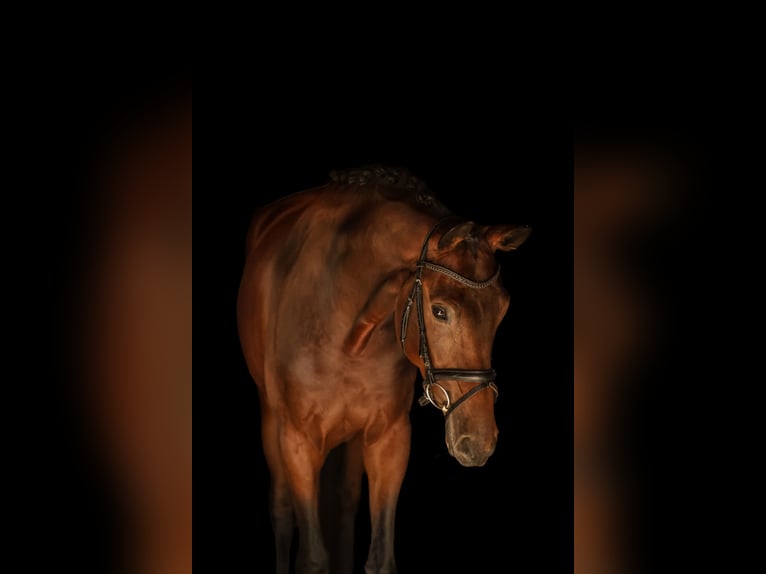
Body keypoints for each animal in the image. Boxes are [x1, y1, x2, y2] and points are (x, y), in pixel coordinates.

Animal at [237, 166, 531, 574]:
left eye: (502, 310)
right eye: (440, 311)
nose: (479, 441)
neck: (344, 330)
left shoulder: (388, 439)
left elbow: (380, 556)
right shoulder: (298, 441)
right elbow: (312, 556)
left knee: (344, 505)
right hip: (271, 422)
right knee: (281, 512)